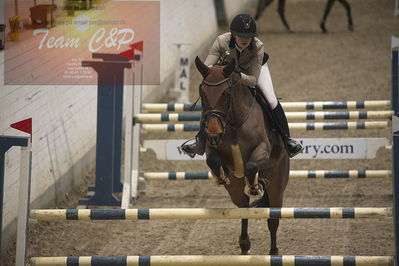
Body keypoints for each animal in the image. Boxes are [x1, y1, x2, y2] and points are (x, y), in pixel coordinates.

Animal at [197, 56, 290, 256]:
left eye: (226, 92)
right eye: (202, 93)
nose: (214, 133)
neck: (233, 122)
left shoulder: (263, 149)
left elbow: (251, 165)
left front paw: (255, 185)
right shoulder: (211, 148)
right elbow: (213, 159)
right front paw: (221, 176)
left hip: (277, 186)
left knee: (273, 219)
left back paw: (273, 252)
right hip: (236, 191)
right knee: (244, 208)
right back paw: (244, 244)